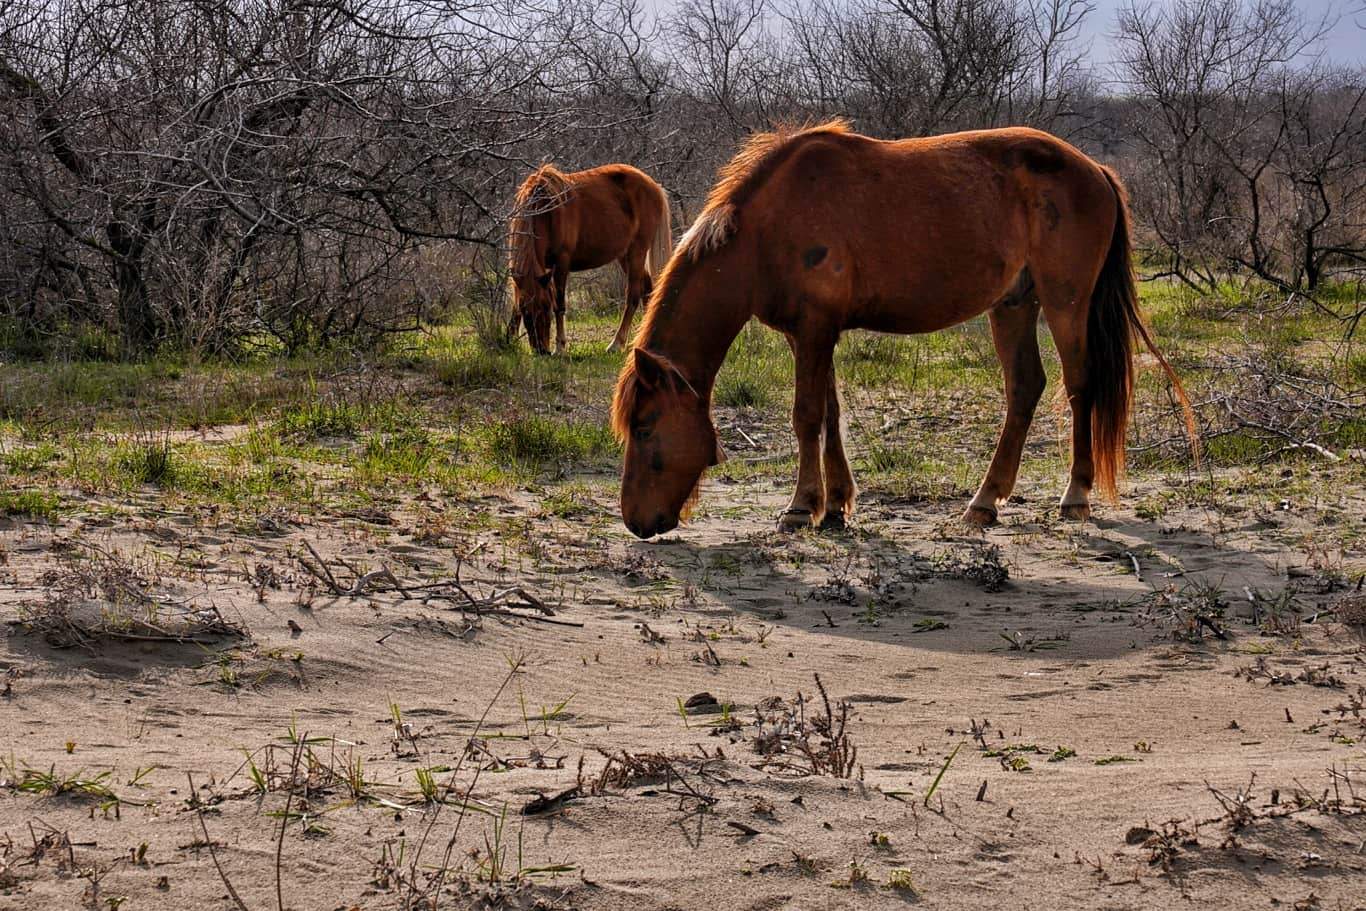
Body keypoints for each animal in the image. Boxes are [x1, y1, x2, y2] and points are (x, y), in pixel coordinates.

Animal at [508, 163, 672, 352]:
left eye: (545, 306)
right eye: (526, 311)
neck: (545, 210)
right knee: (646, 289)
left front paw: (560, 347)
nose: (542, 351)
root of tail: (654, 186)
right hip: (624, 255)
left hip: (636, 252)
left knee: (633, 296)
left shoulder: (562, 262)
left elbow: (560, 304)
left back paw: (616, 343)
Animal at [609, 117, 1196, 538]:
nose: (635, 522)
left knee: (1079, 388)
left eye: (645, 428)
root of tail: (1094, 169)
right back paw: (985, 502)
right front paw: (836, 505)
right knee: (1025, 388)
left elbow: (806, 416)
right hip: (1013, 304)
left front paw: (801, 507)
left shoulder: (815, 330)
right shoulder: (812, 334)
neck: (763, 233)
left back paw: (1074, 496)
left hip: (1064, 302)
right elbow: (831, 414)